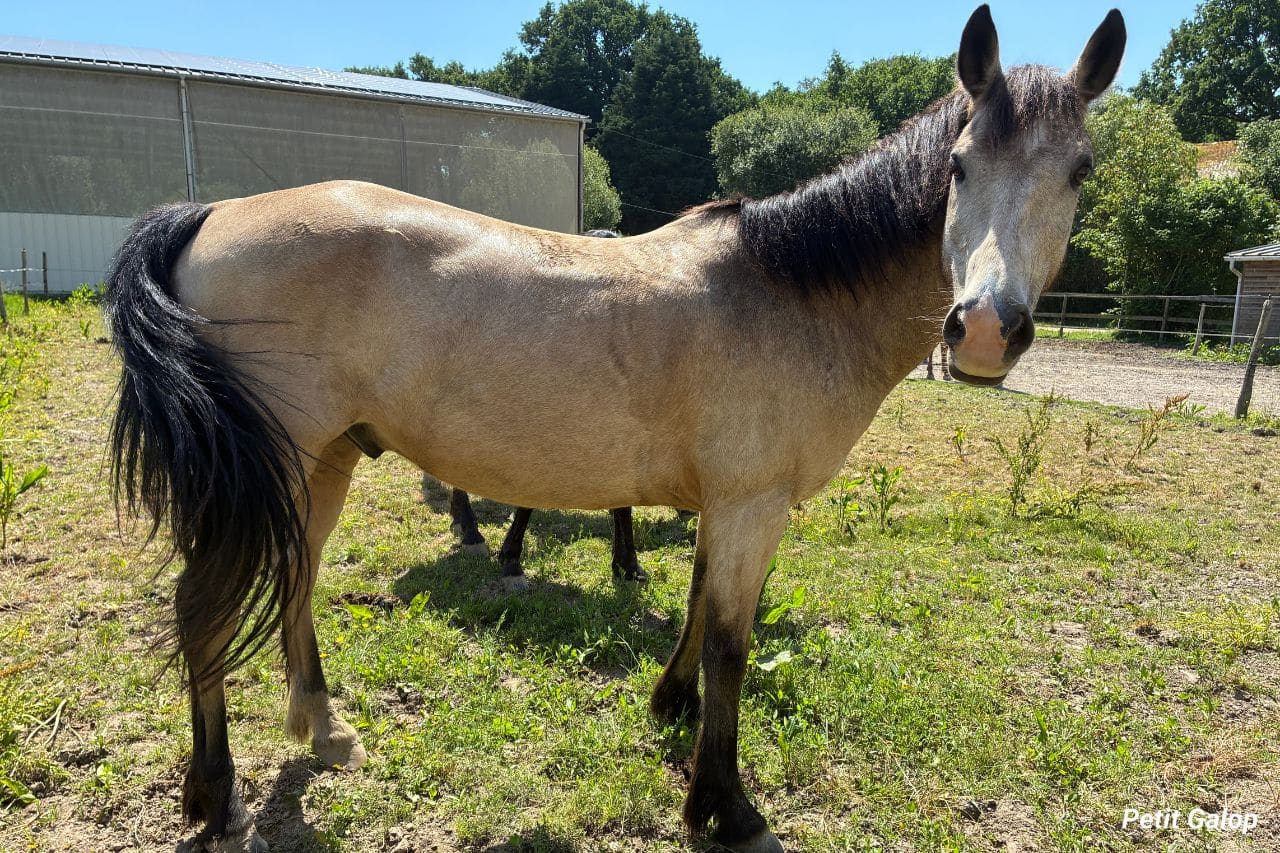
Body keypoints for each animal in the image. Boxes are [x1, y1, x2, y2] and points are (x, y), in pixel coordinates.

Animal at [104, 6, 1124, 851]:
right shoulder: (753, 503)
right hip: (271, 469)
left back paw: (324, 731)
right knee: (204, 608)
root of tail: (208, 214)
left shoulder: (724, 501)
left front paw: (670, 707)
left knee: (297, 584)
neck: (789, 292)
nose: (984, 328)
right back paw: (216, 796)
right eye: (958, 166)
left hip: (323, 464)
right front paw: (726, 806)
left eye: (1079, 172)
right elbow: (730, 643)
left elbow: (698, 603)